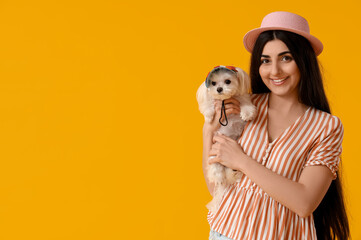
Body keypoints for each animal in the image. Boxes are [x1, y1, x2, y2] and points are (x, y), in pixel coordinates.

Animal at [197, 65, 256, 212]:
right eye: (213, 83)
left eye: (227, 81)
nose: (219, 89)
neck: (225, 100)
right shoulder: (211, 100)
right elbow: (208, 104)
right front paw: (209, 115)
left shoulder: (241, 98)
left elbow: (245, 102)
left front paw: (247, 113)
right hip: (214, 155)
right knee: (216, 170)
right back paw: (220, 177)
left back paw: (233, 173)